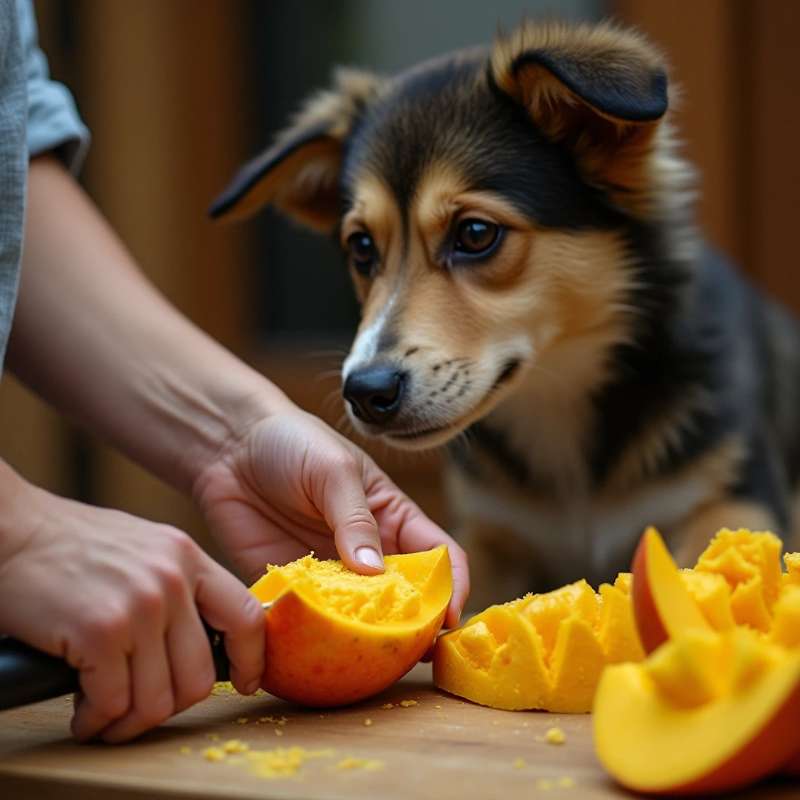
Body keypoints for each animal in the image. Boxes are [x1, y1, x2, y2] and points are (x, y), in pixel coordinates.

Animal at [209, 18, 800, 608]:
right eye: (361, 247)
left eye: (475, 233)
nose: (366, 393)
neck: (557, 400)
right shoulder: (488, 532)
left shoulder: (734, 496)